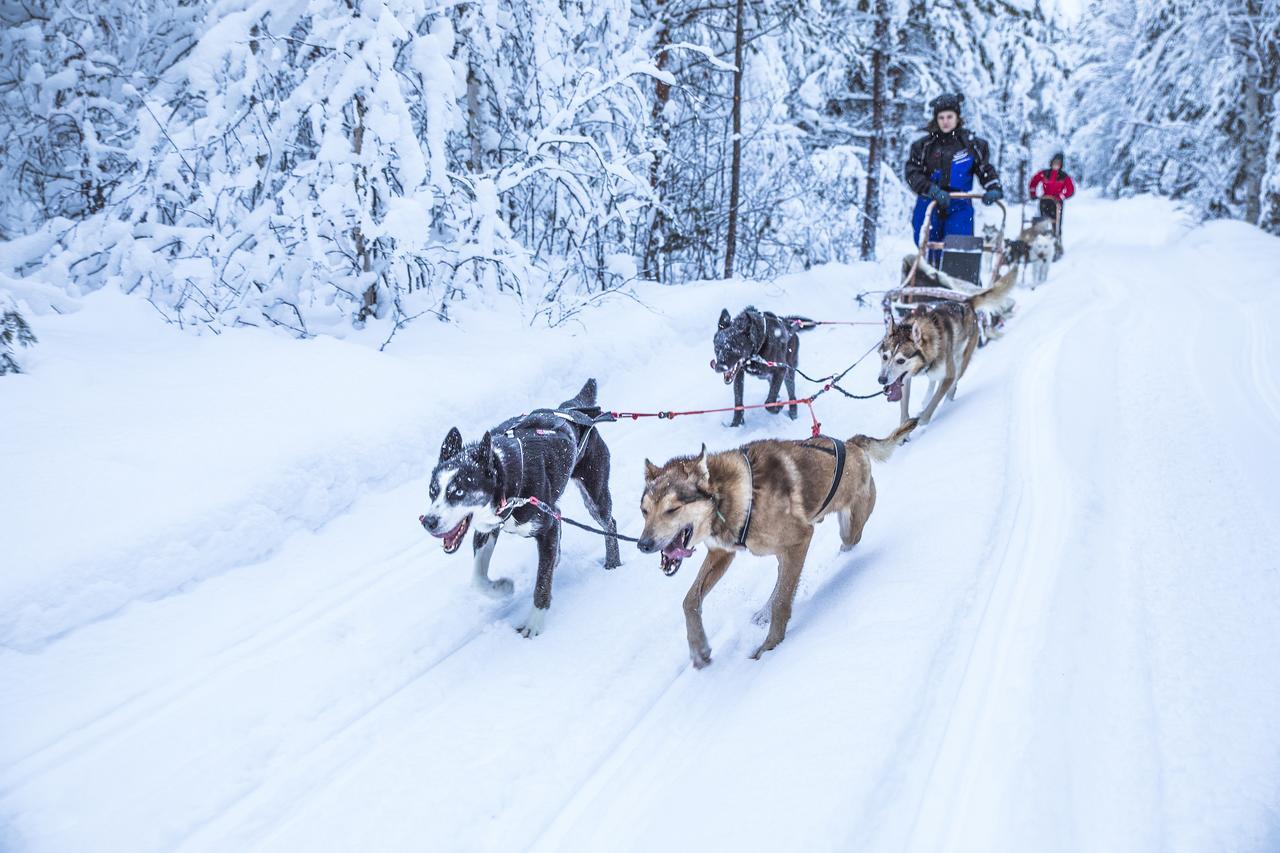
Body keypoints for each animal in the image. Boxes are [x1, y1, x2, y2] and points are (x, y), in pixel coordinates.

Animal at [417, 376, 622, 630]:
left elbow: (542, 583)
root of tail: (572, 409)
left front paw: (534, 623)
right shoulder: (488, 529)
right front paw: (502, 588)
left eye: (458, 492)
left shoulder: (547, 526)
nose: (428, 522)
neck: (506, 477)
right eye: (432, 491)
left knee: (609, 524)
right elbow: (478, 579)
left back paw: (612, 562)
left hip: (594, 493)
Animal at [634, 422, 916, 666]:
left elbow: (782, 603)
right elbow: (690, 601)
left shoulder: (800, 539)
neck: (734, 496)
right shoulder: (722, 553)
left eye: (672, 509)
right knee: (781, 579)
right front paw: (699, 649)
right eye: (644, 511)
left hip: (848, 528)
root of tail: (852, 443)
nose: (643, 544)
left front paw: (770, 648)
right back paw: (763, 611)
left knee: (842, 548)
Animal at [875, 266, 1013, 425]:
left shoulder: (949, 376)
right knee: (933, 380)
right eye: (885, 357)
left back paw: (945, 404)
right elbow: (904, 409)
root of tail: (967, 303)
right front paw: (905, 426)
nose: (881, 379)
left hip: (960, 364)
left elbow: (933, 404)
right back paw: (927, 397)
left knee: (951, 387)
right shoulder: (904, 379)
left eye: (901, 360)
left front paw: (923, 419)